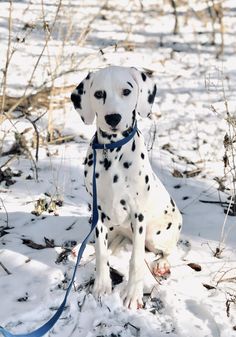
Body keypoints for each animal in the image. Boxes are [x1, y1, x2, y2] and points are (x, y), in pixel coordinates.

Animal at [71, 64, 182, 308]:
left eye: (126, 91)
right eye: (99, 94)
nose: (113, 118)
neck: (112, 152)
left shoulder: (138, 215)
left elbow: (136, 260)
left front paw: (132, 295)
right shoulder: (98, 212)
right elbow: (102, 253)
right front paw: (101, 286)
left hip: (157, 233)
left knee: (167, 251)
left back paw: (162, 264)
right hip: (113, 227)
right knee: (107, 244)